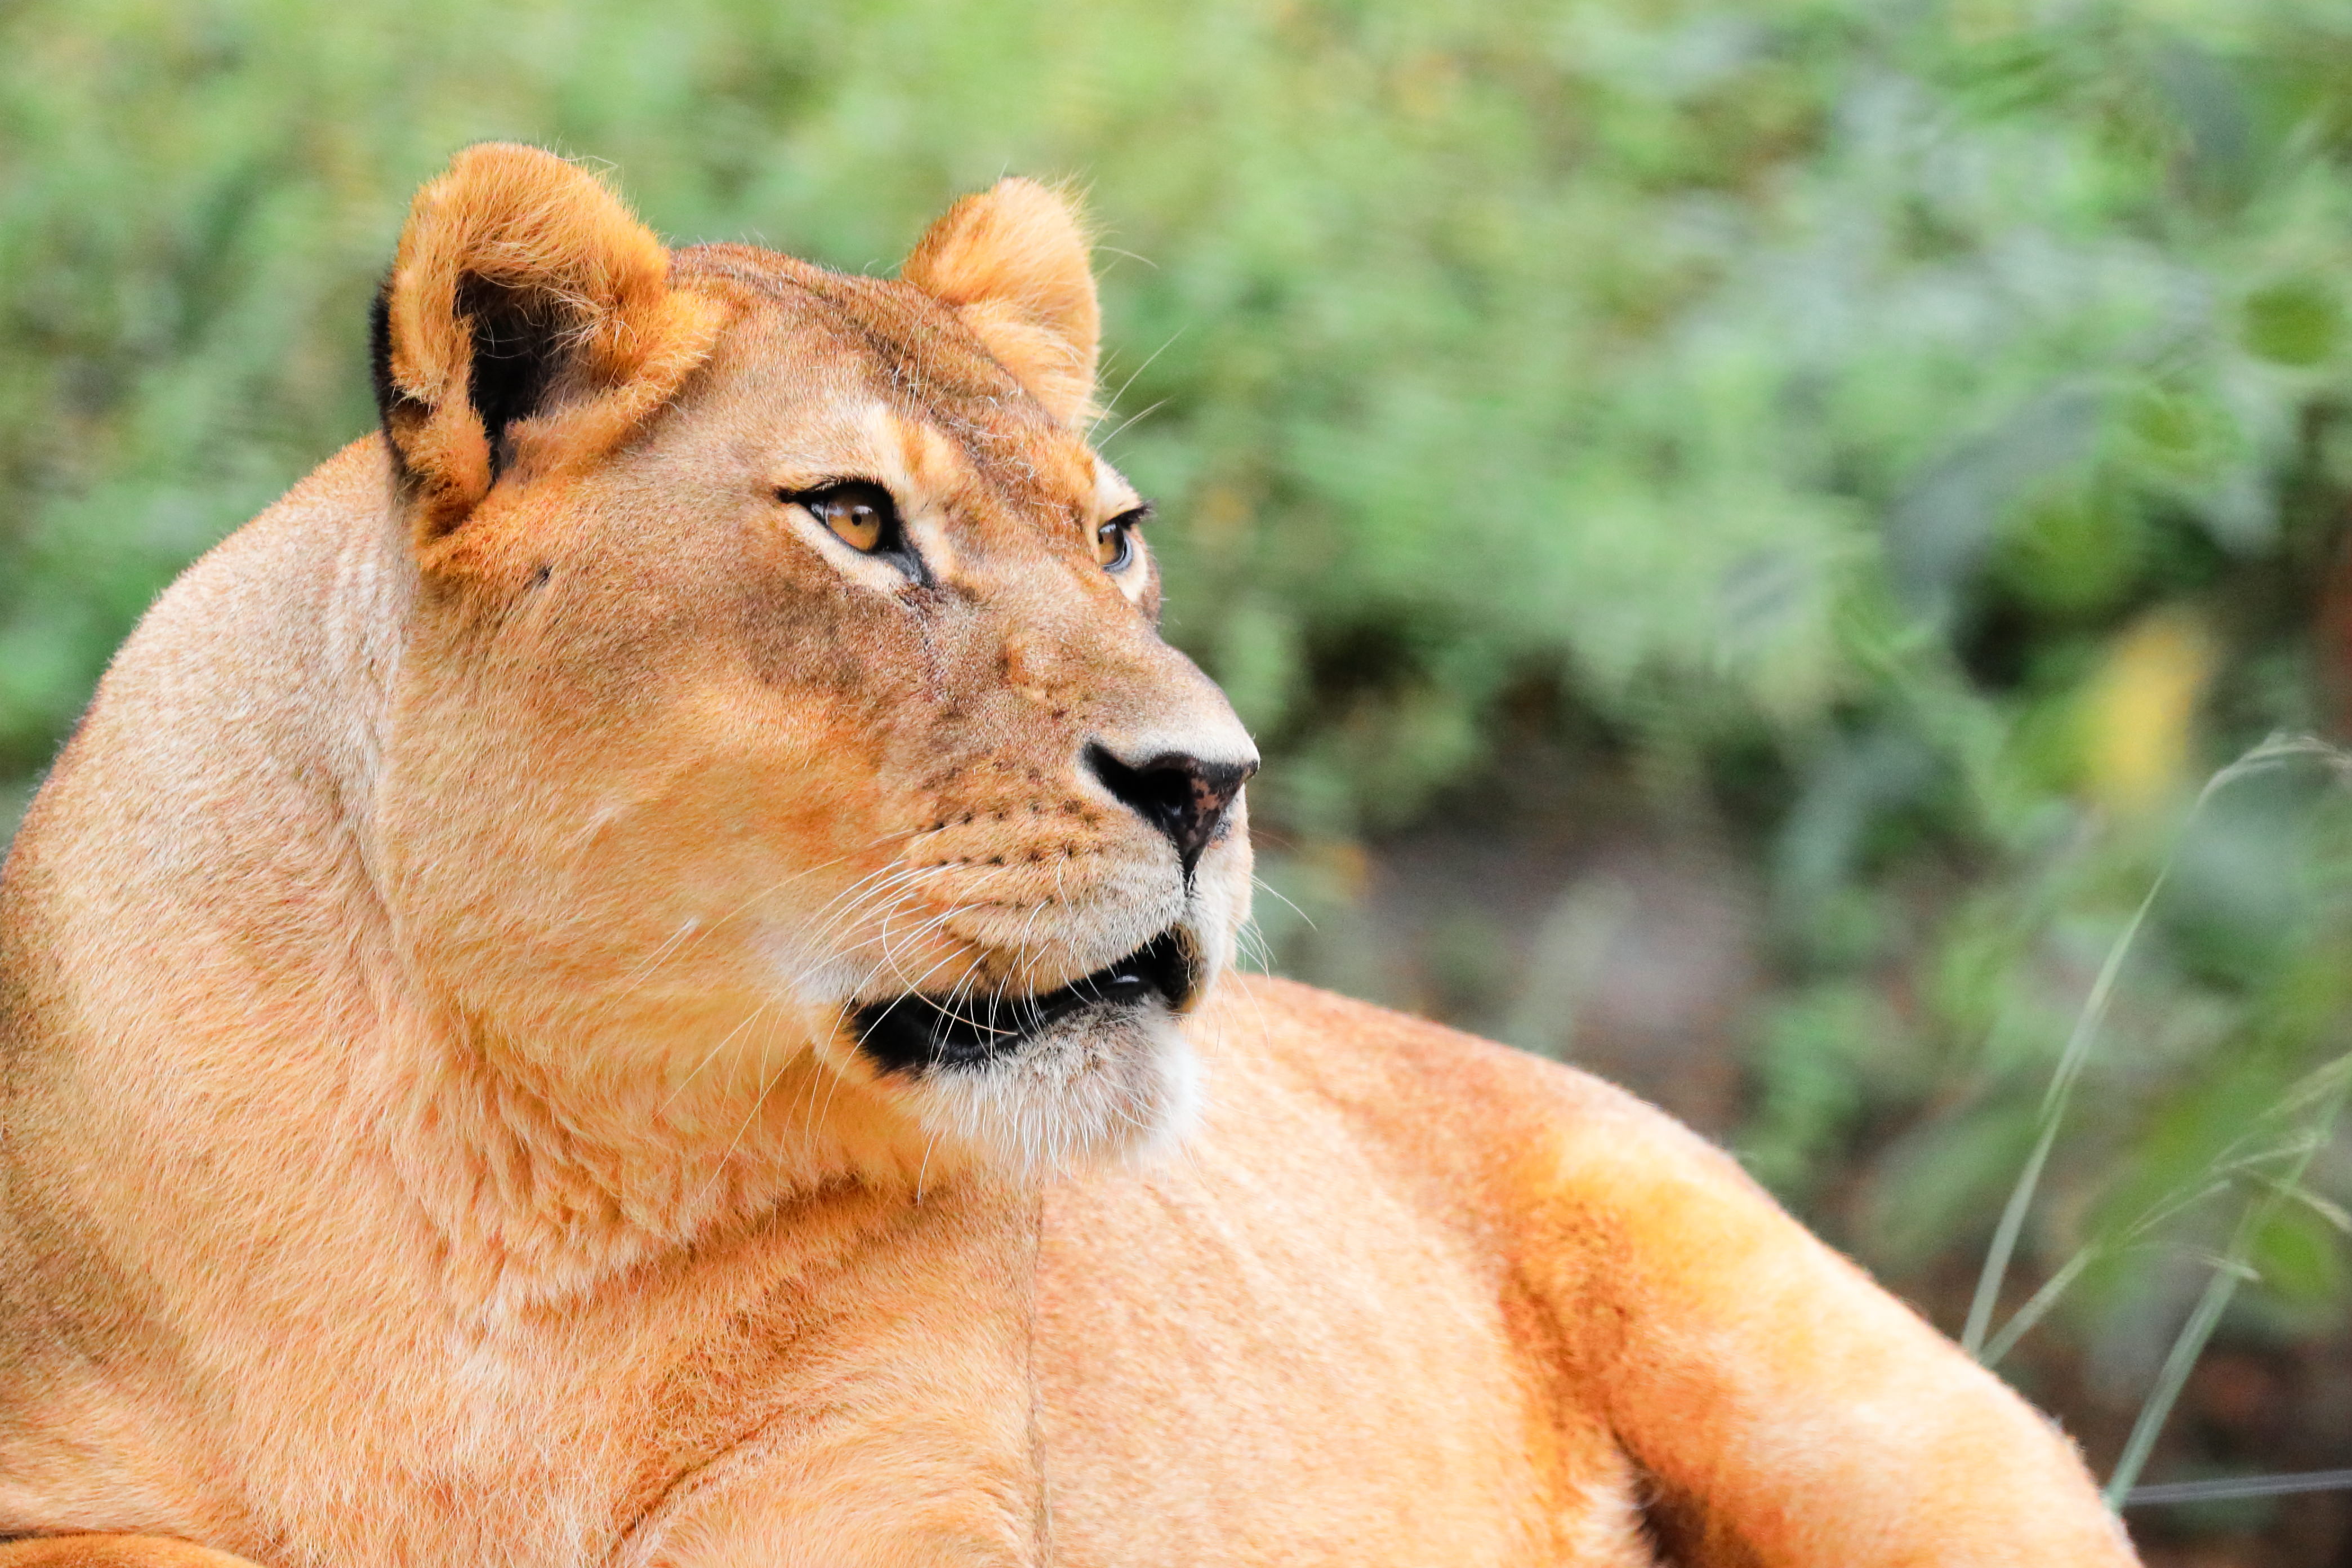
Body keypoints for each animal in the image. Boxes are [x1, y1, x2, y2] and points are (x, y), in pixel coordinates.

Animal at [0, 145, 2136, 1566]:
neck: (526, 1167)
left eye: (1114, 535)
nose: (1213, 782)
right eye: (858, 518)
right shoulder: (65, 1495)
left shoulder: (889, 1490)